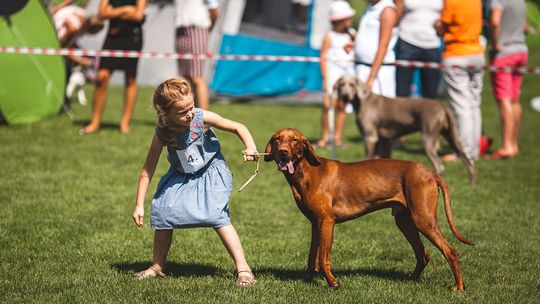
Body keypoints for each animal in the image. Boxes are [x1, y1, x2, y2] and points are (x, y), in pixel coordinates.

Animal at [264, 127, 472, 290]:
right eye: (277, 139)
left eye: (294, 140)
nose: (282, 152)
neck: (307, 172)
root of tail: (430, 172)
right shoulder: (316, 224)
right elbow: (311, 257)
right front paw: (307, 279)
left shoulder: (327, 222)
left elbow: (323, 259)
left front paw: (333, 283)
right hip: (404, 221)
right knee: (423, 254)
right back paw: (412, 279)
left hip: (423, 220)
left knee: (450, 251)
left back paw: (459, 286)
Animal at [334, 75, 476, 185]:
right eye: (341, 85)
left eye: (352, 85)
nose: (345, 96)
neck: (363, 101)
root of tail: (442, 105)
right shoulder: (384, 139)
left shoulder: (370, 137)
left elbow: (367, 158)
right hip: (452, 136)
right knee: (467, 160)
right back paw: (472, 184)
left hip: (427, 138)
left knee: (439, 165)